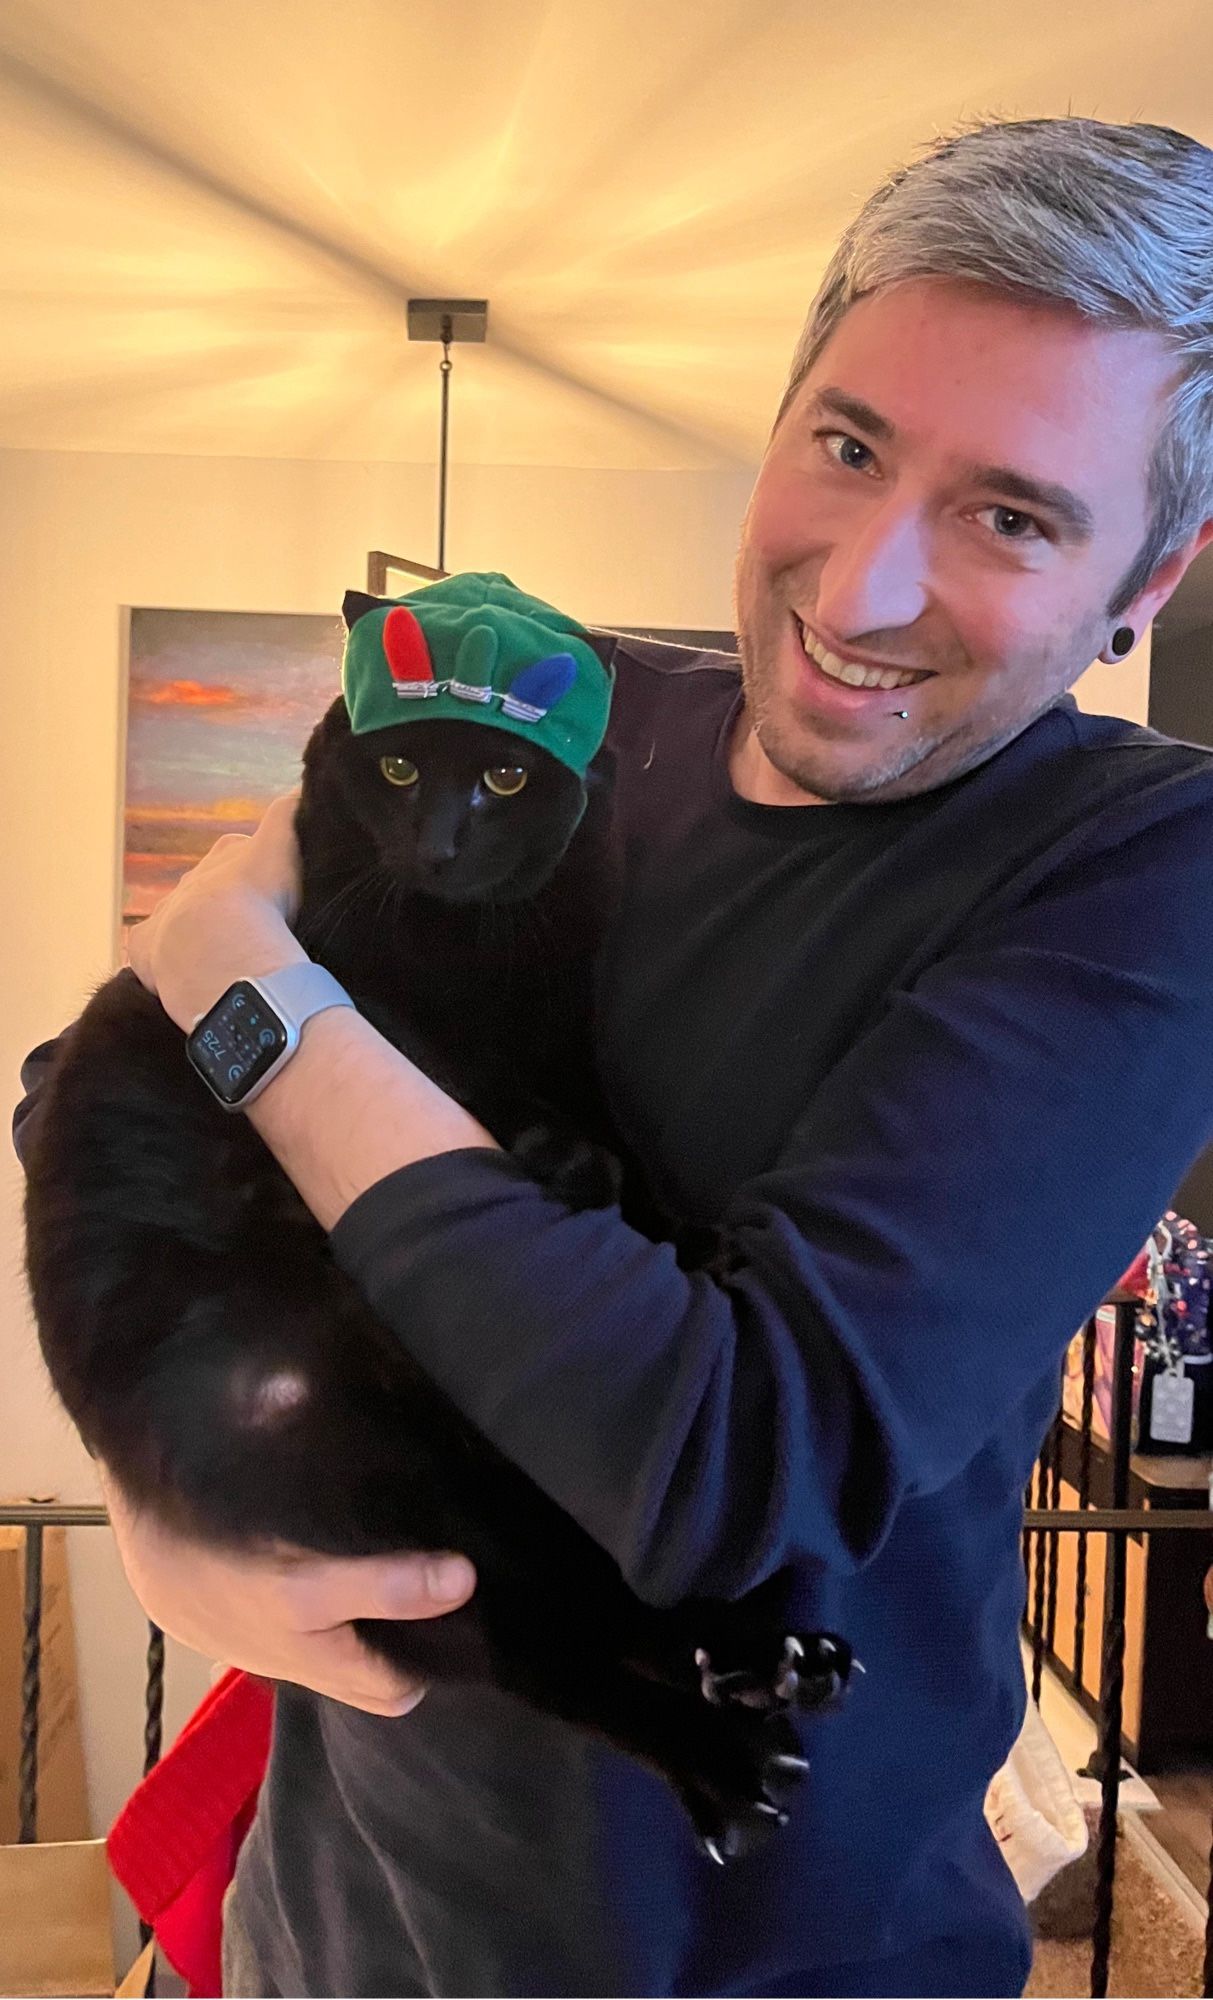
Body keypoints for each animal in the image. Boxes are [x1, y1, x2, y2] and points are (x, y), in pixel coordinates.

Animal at [21, 584, 856, 1864]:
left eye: (505, 778)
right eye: (402, 764)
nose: (444, 843)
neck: (476, 953)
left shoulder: (566, 1031)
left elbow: (614, 1126)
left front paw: (671, 1218)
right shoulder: (395, 1015)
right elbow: (478, 1091)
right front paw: (579, 1169)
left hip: (490, 1473)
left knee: (590, 1599)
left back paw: (770, 1655)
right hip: (400, 1499)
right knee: (546, 1651)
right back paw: (729, 1754)